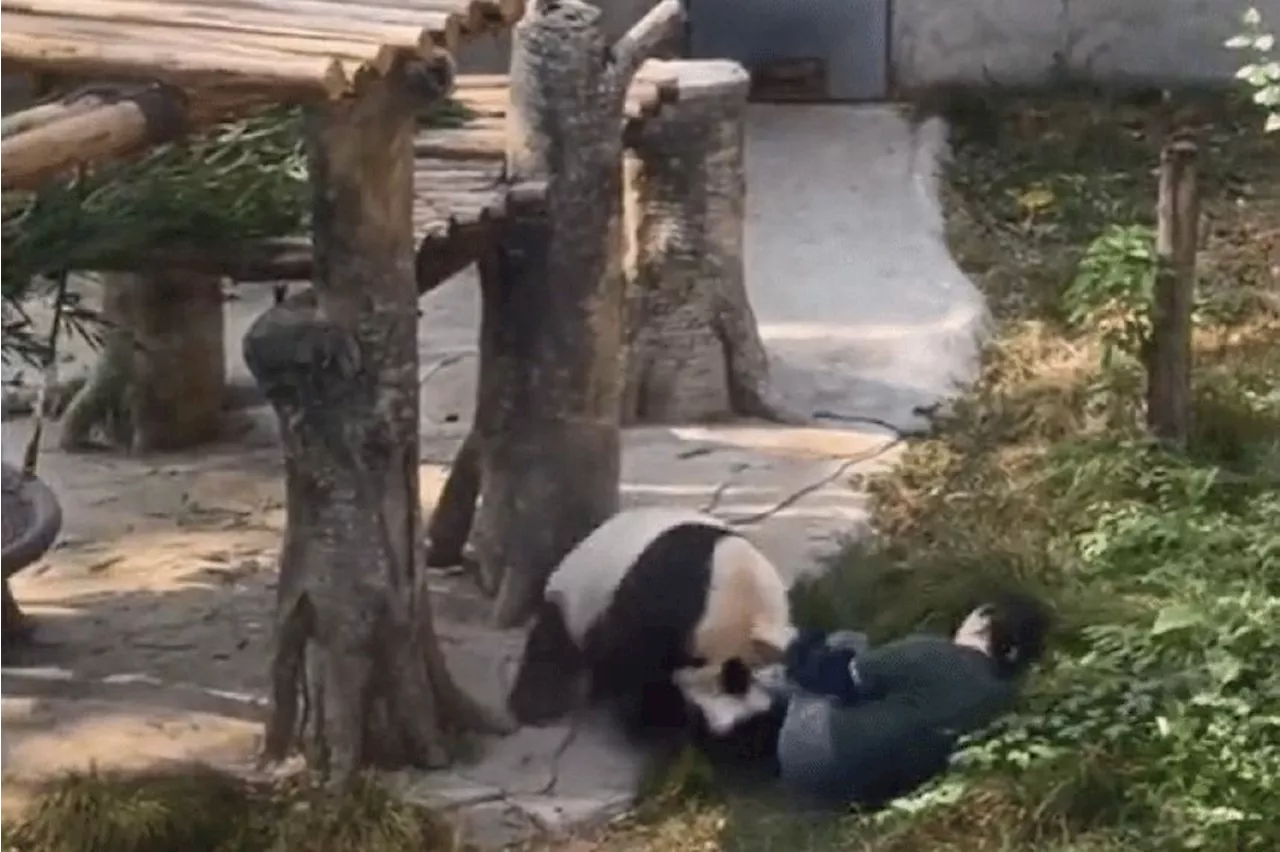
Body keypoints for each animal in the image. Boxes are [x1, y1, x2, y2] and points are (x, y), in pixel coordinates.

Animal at [504, 501, 793, 752]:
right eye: (732, 678)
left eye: (744, 680)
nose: (722, 729)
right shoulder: (662, 600)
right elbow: (635, 660)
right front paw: (657, 721)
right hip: (576, 596)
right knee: (553, 648)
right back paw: (539, 706)